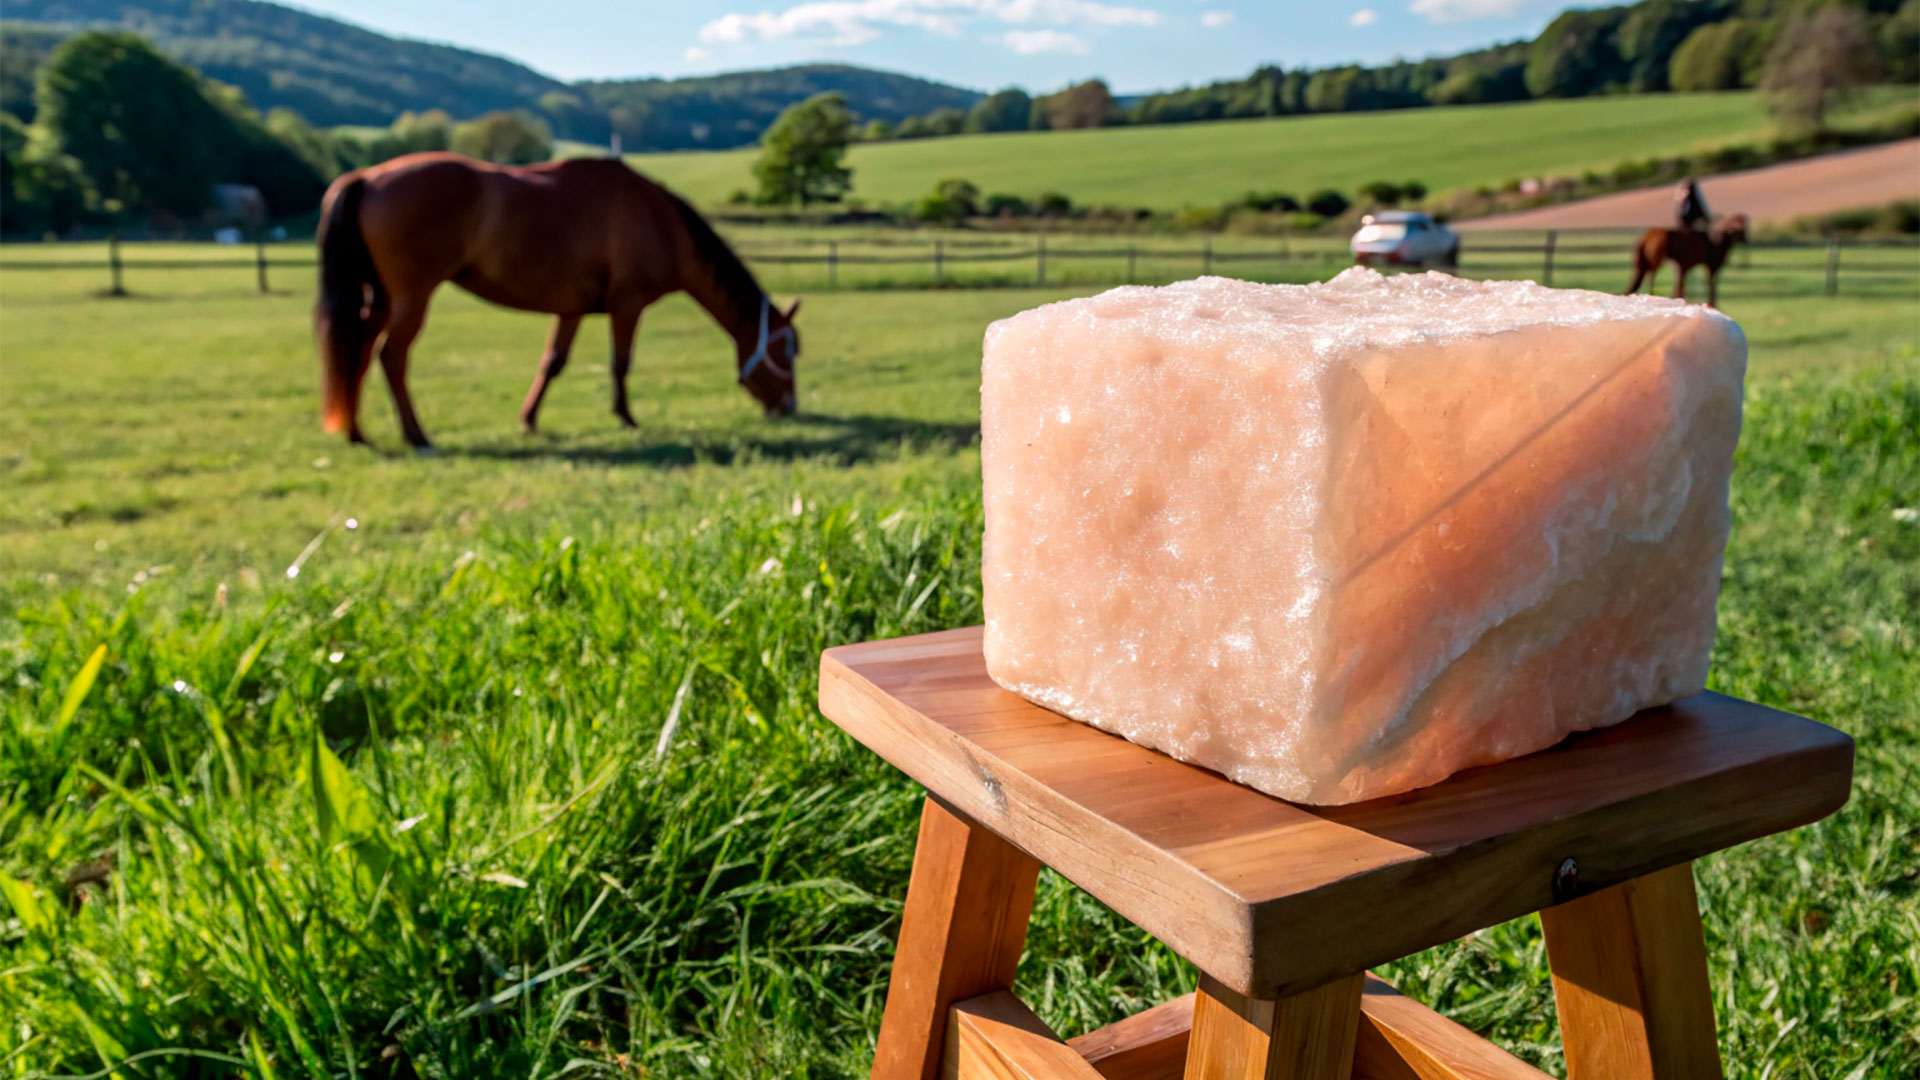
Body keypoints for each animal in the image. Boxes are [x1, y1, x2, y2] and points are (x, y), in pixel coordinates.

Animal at [318, 151, 798, 445]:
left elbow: (552, 363)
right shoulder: (628, 304)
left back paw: (356, 431)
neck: (660, 221)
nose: (789, 408)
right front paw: (626, 417)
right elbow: (621, 363)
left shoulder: (571, 310)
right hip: (412, 297)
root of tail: (368, 177)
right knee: (391, 355)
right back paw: (417, 436)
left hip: (382, 298)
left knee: (358, 348)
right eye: (785, 350)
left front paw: (529, 420)